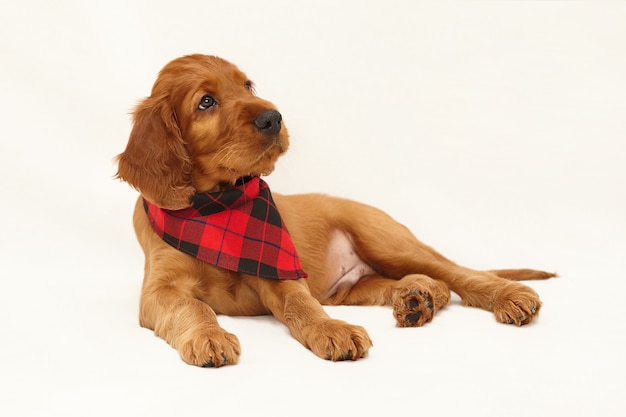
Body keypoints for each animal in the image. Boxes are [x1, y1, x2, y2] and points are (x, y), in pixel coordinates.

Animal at [114, 53, 552, 366]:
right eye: (206, 102)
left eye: (248, 84)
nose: (273, 118)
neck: (218, 207)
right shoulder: (159, 289)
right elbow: (190, 306)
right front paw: (209, 335)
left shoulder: (279, 272)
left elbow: (302, 305)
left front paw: (331, 330)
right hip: (354, 287)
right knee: (428, 283)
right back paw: (416, 298)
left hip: (386, 241)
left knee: (459, 273)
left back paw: (506, 296)